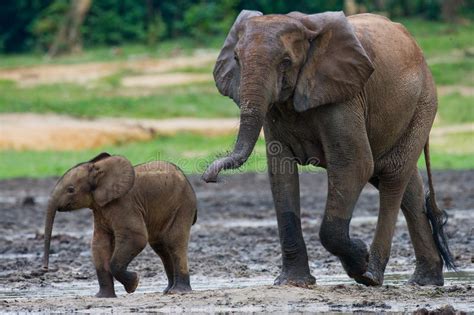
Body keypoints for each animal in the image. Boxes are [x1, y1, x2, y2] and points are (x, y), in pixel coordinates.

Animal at [41, 153, 196, 298]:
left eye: (71, 190)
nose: (45, 268)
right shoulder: (100, 209)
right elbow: (99, 244)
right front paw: (103, 297)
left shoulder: (124, 204)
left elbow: (136, 238)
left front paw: (134, 284)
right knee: (161, 247)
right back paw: (167, 291)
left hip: (182, 206)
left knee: (174, 241)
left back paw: (178, 291)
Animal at [202, 9, 454, 288]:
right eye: (236, 58)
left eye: (286, 61)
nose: (209, 176)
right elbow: (281, 172)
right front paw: (293, 282)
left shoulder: (343, 95)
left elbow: (354, 164)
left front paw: (360, 259)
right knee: (406, 184)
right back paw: (425, 281)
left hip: (423, 102)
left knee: (392, 177)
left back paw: (372, 275)